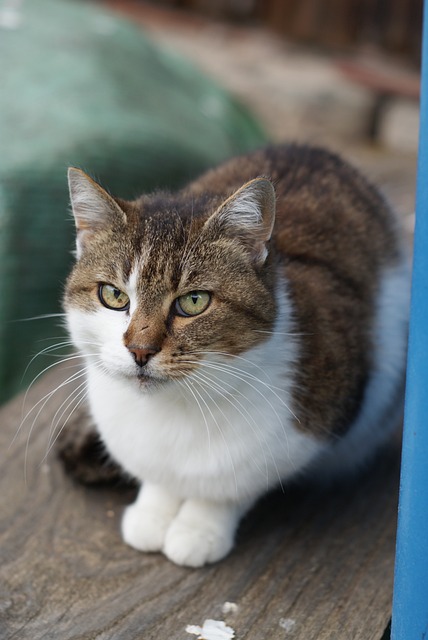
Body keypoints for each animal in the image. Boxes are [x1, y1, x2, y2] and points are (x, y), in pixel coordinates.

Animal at [63, 144, 408, 564]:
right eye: (113, 296)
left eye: (194, 301)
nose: (140, 350)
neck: (171, 407)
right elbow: (158, 477)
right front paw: (153, 510)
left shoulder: (302, 427)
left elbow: (231, 486)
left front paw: (199, 528)